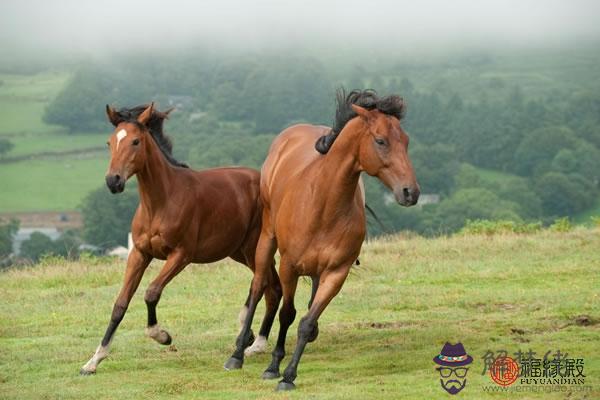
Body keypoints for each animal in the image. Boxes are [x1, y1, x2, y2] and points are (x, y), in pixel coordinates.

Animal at [79, 103, 282, 376]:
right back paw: (253, 339)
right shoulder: (139, 254)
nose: (113, 181)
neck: (161, 202)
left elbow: (152, 292)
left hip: (253, 249)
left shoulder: (181, 255)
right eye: (110, 142)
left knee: (268, 285)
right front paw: (93, 361)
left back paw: (252, 339)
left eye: (135, 141)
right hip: (238, 251)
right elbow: (120, 304)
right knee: (272, 286)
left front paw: (162, 335)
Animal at [226, 89, 422, 390]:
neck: (322, 204)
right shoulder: (289, 266)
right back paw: (237, 353)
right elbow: (287, 313)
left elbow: (306, 321)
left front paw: (289, 375)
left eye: (407, 141)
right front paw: (273, 366)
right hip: (267, 238)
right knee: (259, 287)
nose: (410, 192)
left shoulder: (336, 272)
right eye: (381, 140)